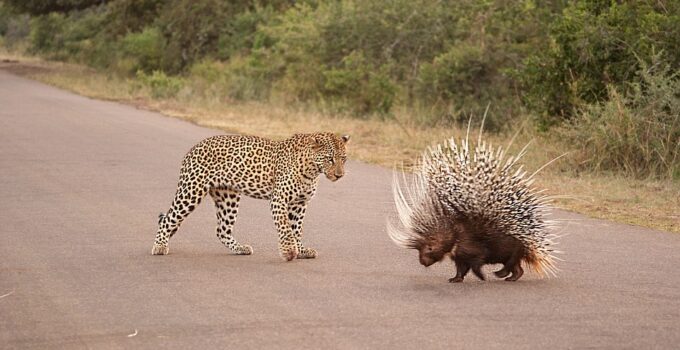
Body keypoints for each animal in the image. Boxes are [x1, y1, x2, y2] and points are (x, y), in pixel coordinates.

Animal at [151, 133, 348, 262]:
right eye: (330, 159)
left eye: (344, 159)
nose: (340, 175)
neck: (312, 170)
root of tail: (193, 149)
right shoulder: (279, 199)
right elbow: (285, 228)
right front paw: (288, 252)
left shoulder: (299, 203)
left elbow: (296, 230)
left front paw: (301, 250)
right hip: (191, 191)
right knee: (168, 219)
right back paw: (160, 246)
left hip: (227, 198)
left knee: (222, 230)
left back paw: (240, 248)